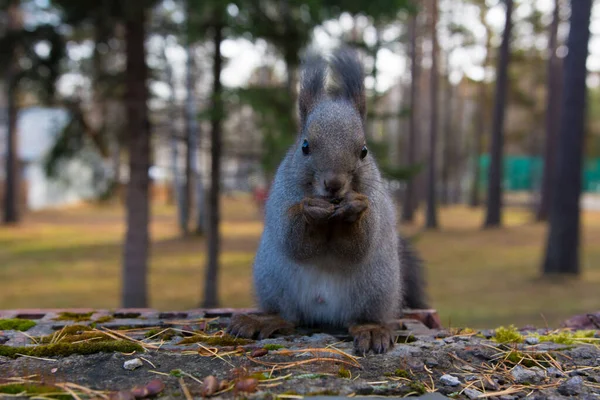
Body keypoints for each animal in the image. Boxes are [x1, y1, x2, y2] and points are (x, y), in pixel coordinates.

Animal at [227, 47, 428, 356]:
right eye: (304, 146)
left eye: (364, 151)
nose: (333, 184)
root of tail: (323, 312)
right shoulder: (280, 200)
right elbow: (293, 240)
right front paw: (310, 210)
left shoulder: (376, 205)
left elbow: (358, 245)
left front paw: (354, 210)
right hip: (273, 279)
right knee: (289, 315)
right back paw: (266, 320)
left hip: (376, 286)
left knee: (361, 316)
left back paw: (371, 329)